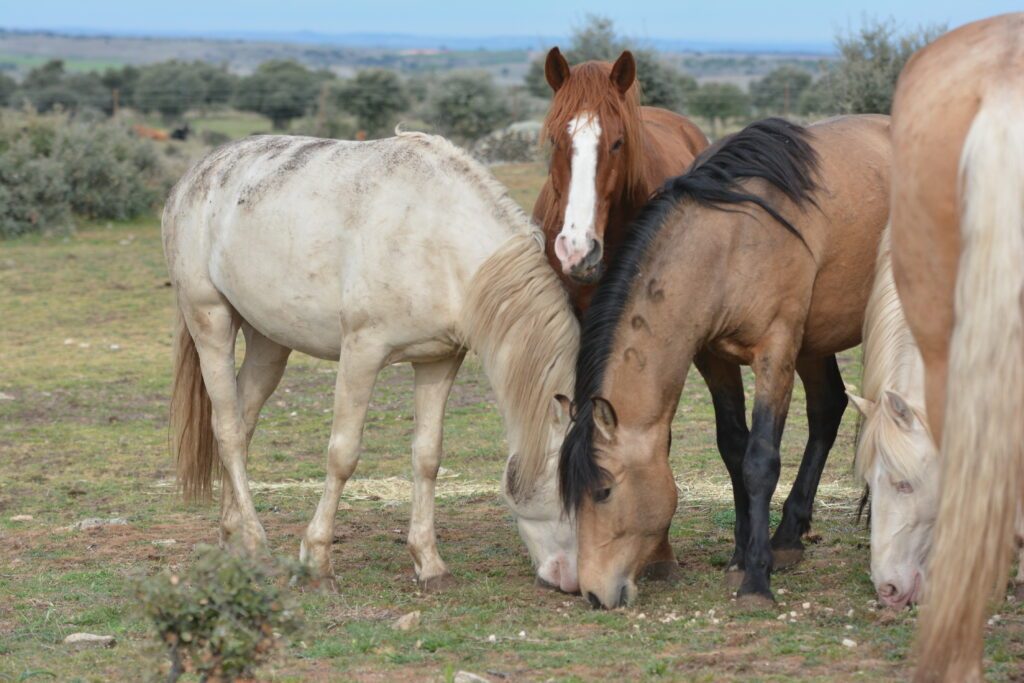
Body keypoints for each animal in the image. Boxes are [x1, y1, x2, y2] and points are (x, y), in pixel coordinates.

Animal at [164, 132, 589, 593]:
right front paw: (317, 561)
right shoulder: (361, 353)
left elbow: (428, 456)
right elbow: (343, 455)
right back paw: (258, 546)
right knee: (227, 430)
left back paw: (233, 538)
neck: (438, 238)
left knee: (243, 424)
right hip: (210, 319)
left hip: (269, 342)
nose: (572, 579)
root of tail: (192, 176)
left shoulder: (440, 361)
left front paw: (429, 563)